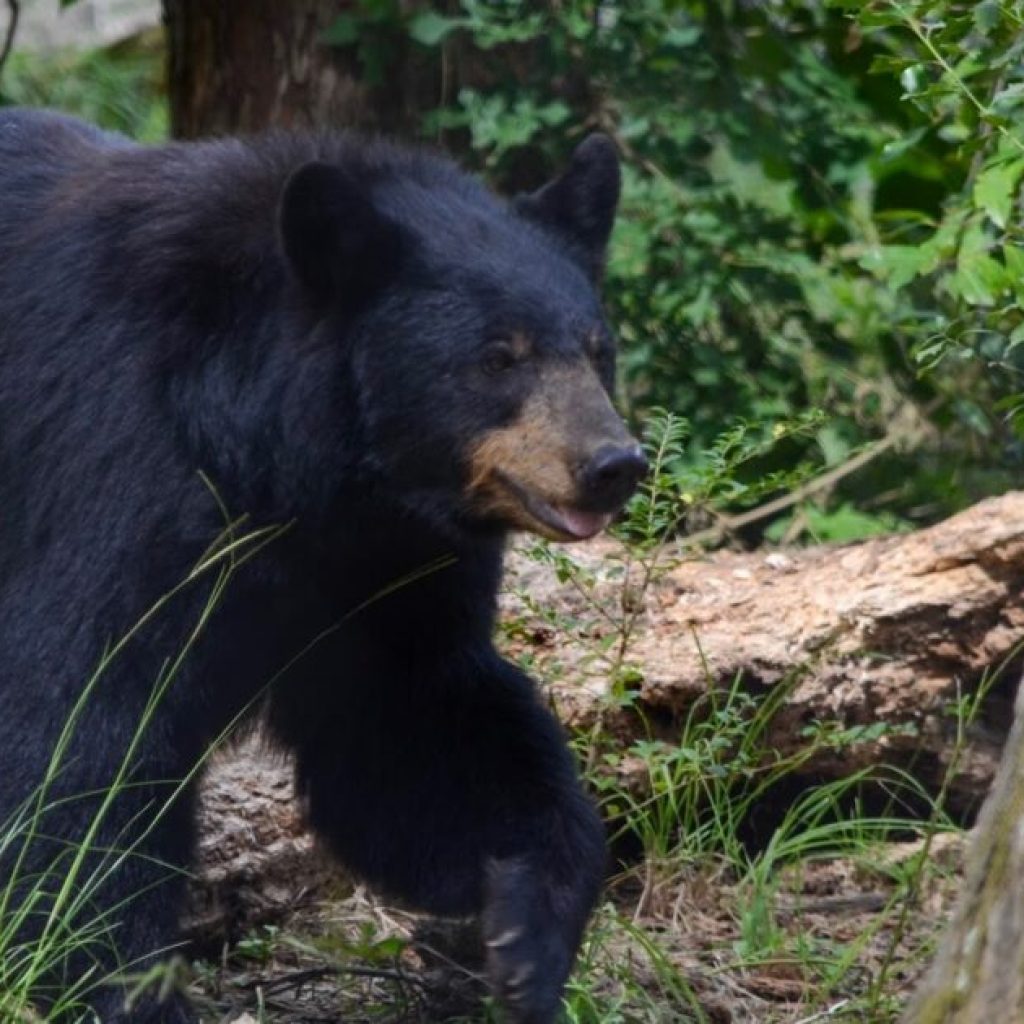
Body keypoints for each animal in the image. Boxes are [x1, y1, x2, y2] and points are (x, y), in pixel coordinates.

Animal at [0, 107, 647, 1024]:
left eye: (598, 350)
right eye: (497, 356)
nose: (613, 464)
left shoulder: (386, 562)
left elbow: (416, 719)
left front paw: (525, 930)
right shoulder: (114, 460)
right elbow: (81, 722)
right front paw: (119, 982)